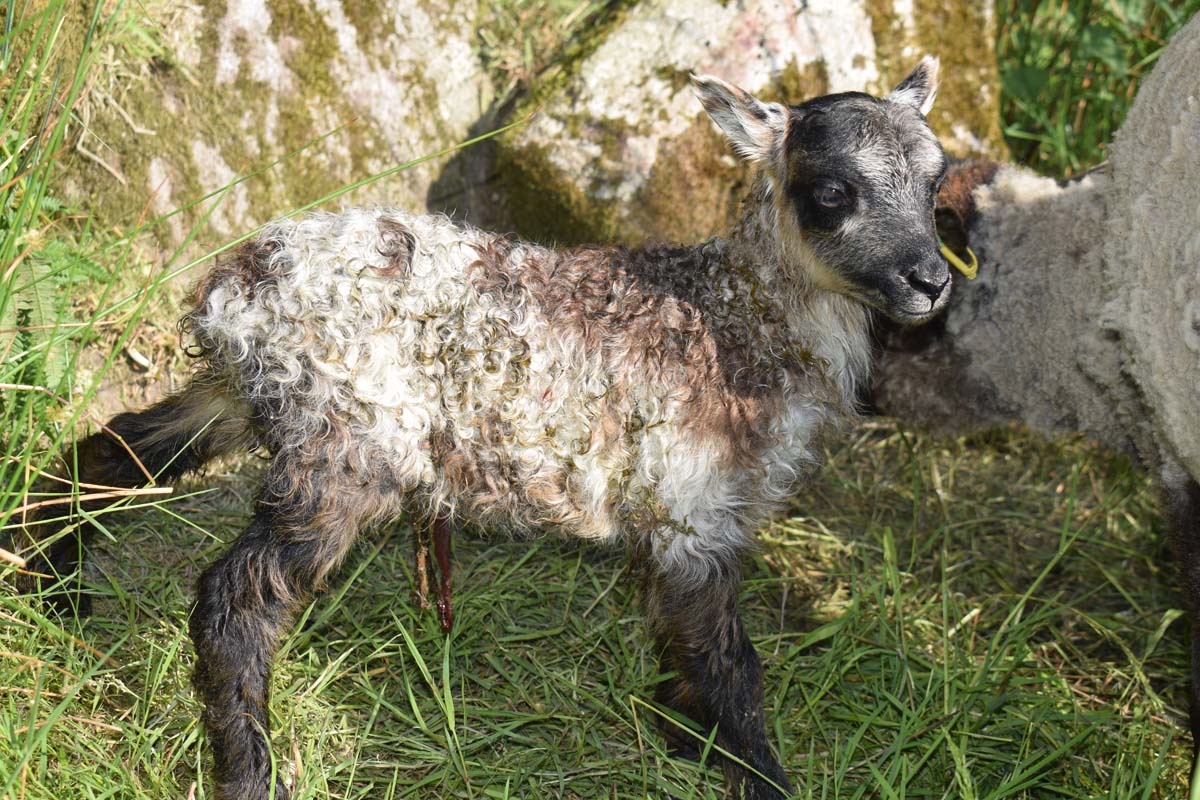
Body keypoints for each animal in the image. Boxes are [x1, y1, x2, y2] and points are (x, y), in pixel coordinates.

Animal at [11, 58, 951, 800]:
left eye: (937, 184)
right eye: (833, 192)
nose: (932, 281)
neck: (735, 319)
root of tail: (234, 286)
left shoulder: (688, 516)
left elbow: (682, 640)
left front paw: (683, 736)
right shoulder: (693, 508)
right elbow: (732, 665)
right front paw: (758, 774)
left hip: (248, 399)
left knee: (118, 446)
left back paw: (48, 581)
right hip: (348, 441)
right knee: (237, 597)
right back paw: (248, 771)